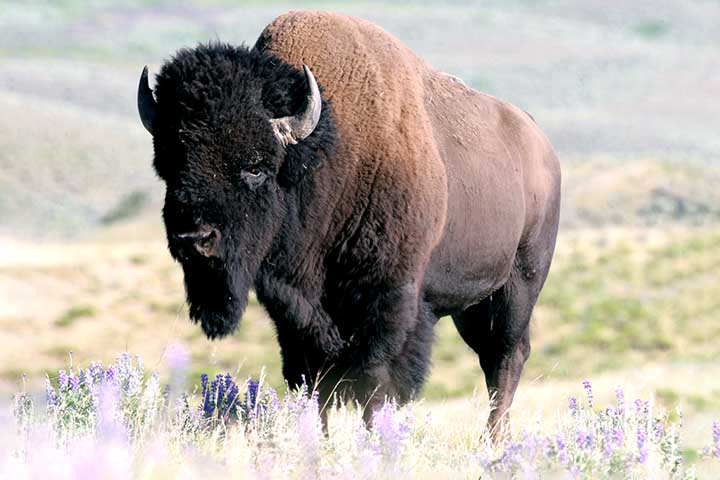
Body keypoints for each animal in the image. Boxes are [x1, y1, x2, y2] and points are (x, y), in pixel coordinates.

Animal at [138, 10, 561, 436]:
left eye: (256, 167)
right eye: (169, 163)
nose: (194, 238)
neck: (325, 154)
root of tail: (541, 144)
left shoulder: (388, 300)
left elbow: (375, 381)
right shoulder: (295, 311)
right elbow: (311, 381)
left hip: (519, 286)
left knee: (506, 358)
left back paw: (494, 438)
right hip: (470, 305)